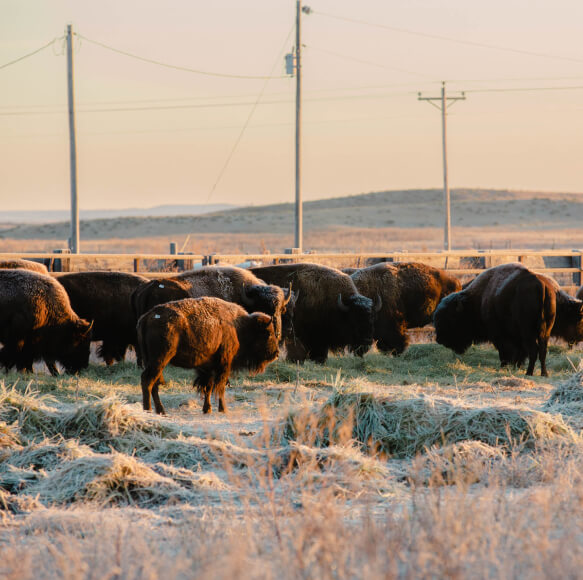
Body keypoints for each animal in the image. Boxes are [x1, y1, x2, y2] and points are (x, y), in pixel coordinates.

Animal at [139, 296, 280, 414]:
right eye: (268, 334)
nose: (276, 353)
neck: (239, 326)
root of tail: (147, 317)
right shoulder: (224, 364)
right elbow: (220, 387)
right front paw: (223, 409)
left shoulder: (207, 368)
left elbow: (208, 387)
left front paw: (207, 409)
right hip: (160, 359)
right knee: (148, 380)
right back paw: (149, 409)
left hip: (153, 362)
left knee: (154, 383)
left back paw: (160, 410)